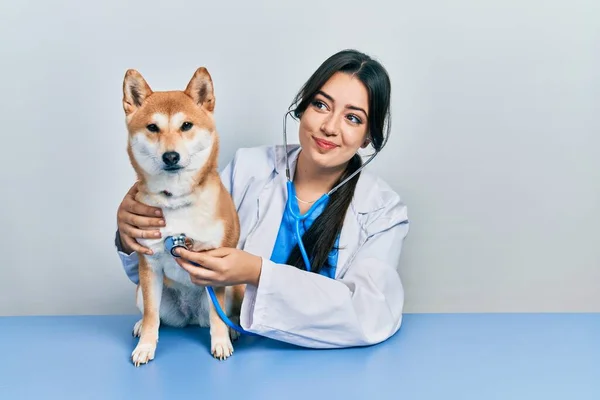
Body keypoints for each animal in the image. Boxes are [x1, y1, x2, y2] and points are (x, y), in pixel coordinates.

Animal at [122, 67, 244, 368]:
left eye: (186, 125)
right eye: (152, 127)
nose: (171, 156)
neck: (175, 200)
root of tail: (190, 316)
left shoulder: (216, 263)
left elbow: (217, 315)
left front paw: (221, 342)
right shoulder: (149, 265)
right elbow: (152, 317)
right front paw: (146, 346)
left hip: (235, 286)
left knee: (227, 314)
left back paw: (234, 330)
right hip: (142, 291)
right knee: (154, 315)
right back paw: (141, 326)